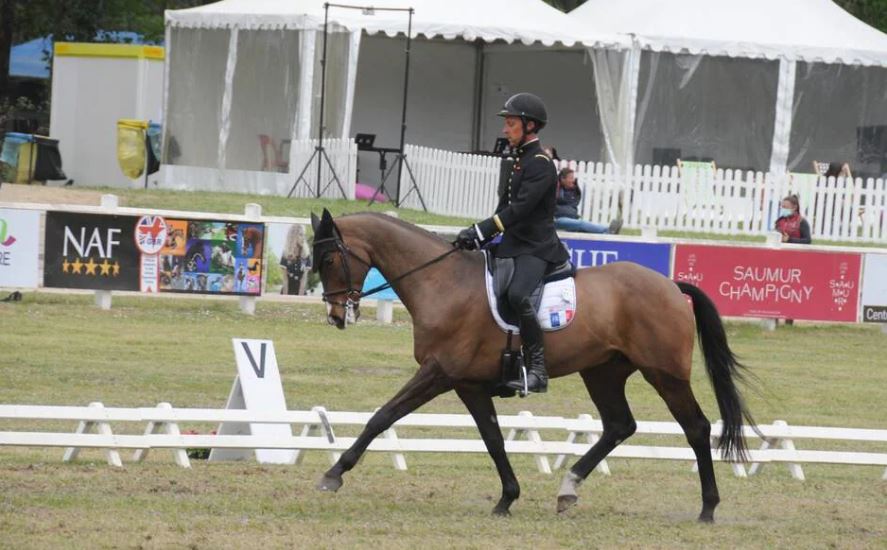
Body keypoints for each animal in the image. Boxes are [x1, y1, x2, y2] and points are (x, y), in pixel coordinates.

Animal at [310, 209, 756, 524]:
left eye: (330, 258)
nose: (335, 315)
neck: (442, 282)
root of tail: (671, 285)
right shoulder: (468, 383)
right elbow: (493, 439)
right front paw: (507, 497)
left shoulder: (438, 373)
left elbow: (383, 416)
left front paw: (333, 474)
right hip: (603, 372)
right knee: (619, 425)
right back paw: (568, 488)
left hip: (665, 374)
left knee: (696, 427)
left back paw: (708, 508)